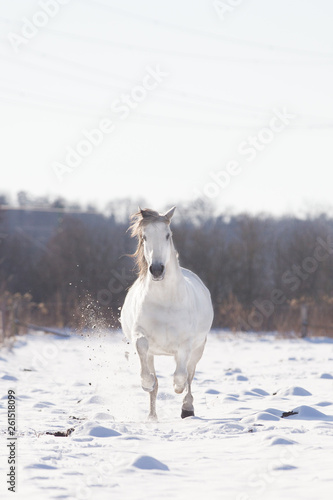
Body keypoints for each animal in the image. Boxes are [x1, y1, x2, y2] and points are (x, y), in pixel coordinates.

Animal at [119, 207, 213, 422]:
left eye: (168, 235)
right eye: (144, 237)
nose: (156, 269)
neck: (165, 301)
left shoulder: (185, 344)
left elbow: (181, 376)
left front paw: (179, 391)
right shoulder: (141, 337)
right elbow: (145, 357)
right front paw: (146, 383)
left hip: (199, 348)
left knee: (190, 375)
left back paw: (187, 408)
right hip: (154, 354)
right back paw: (152, 416)